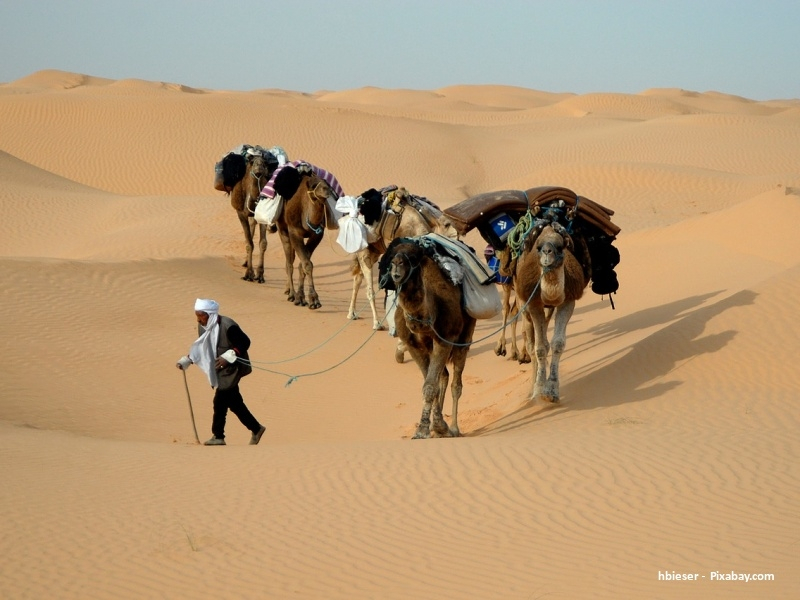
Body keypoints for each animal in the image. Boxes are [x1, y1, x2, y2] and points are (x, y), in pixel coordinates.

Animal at [276, 166, 338, 312]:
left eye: (327, 183)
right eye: (314, 185)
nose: (327, 190)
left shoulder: (317, 235)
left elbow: (304, 264)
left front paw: (303, 297)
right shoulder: (295, 232)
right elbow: (306, 264)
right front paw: (312, 300)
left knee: (292, 260)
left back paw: (289, 291)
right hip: (283, 229)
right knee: (289, 263)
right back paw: (291, 294)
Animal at [382, 237, 476, 438]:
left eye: (413, 258)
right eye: (393, 256)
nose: (397, 264)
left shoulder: (445, 339)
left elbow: (430, 386)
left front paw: (425, 429)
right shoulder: (413, 345)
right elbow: (430, 384)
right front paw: (435, 426)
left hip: (465, 334)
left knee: (456, 382)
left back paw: (454, 428)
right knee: (444, 376)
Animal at [512, 221, 588, 404]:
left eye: (560, 247)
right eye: (539, 247)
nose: (547, 252)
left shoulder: (568, 301)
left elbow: (557, 343)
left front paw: (551, 390)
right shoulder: (533, 303)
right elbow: (539, 348)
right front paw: (539, 389)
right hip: (522, 304)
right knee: (530, 342)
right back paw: (530, 391)